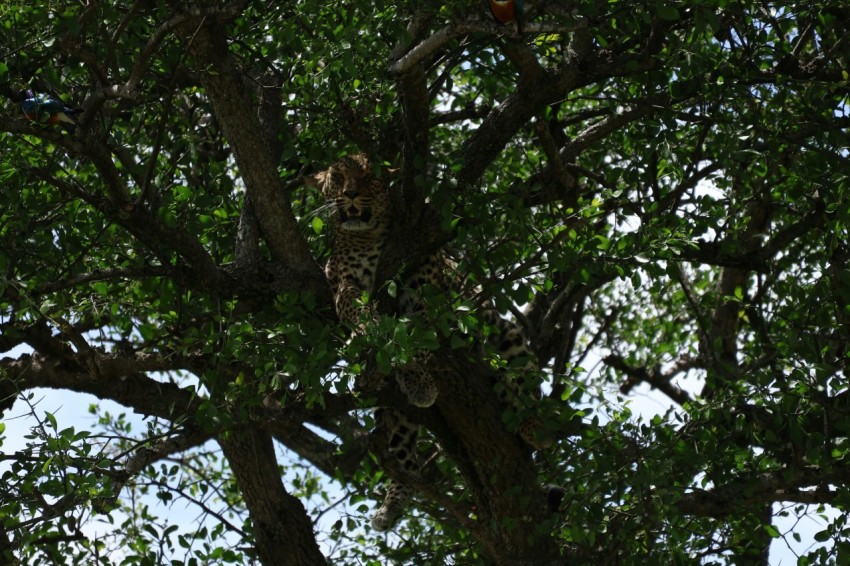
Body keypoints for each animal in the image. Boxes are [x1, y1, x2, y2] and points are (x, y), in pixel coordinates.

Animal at [306, 153, 551, 532]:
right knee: (404, 450)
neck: (371, 236)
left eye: (370, 177)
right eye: (338, 177)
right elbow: (359, 313)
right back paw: (392, 504)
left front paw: (418, 377)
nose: (350, 194)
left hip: (503, 332)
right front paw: (377, 341)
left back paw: (533, 424)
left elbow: (414, 339)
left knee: (522, 380)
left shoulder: (422, 293)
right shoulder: (344, 281)